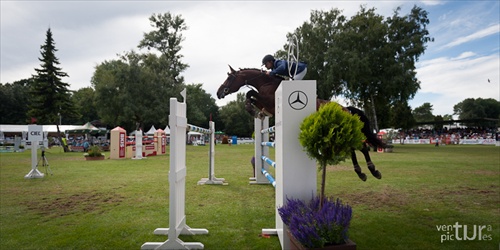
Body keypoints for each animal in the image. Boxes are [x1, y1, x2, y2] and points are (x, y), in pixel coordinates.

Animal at [217, 65, 384, 181]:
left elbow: (250, 93)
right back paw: (362, 173)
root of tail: (346, 109)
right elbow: (252, 97)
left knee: (361, 147)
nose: (219, 93)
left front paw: (253, 111)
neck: (266, 83)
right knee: (353, 149)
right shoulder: (266, 103)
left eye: (229, 78)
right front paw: (257, 112)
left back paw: (373, 171)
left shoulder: (270, 102)